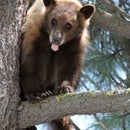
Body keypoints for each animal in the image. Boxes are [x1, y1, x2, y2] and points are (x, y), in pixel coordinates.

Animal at [20, 0, 95, 129]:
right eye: (53, 21)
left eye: (69, 25)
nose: (56, 39)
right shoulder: (34, 33)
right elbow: (32, 60)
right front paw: (38, 93)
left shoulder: (73, 43)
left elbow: (69, 65)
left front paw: (64, 87)